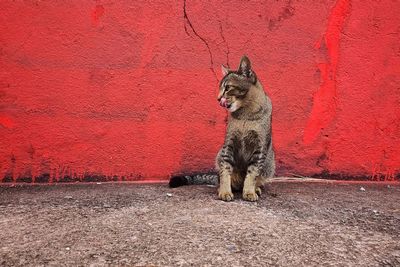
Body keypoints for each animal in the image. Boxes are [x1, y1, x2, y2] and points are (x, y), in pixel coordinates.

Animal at [169, 56, 276, 203]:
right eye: (220, 88)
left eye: (228, 88)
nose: (218, 98)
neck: (246, 115)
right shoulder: (229, 145)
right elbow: (225, 171)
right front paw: (225, 192)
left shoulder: (260, 148)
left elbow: (252, 173)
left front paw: (249, 191)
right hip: (219, 154)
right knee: (221, 177)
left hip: (269, 162)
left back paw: (256, 189)